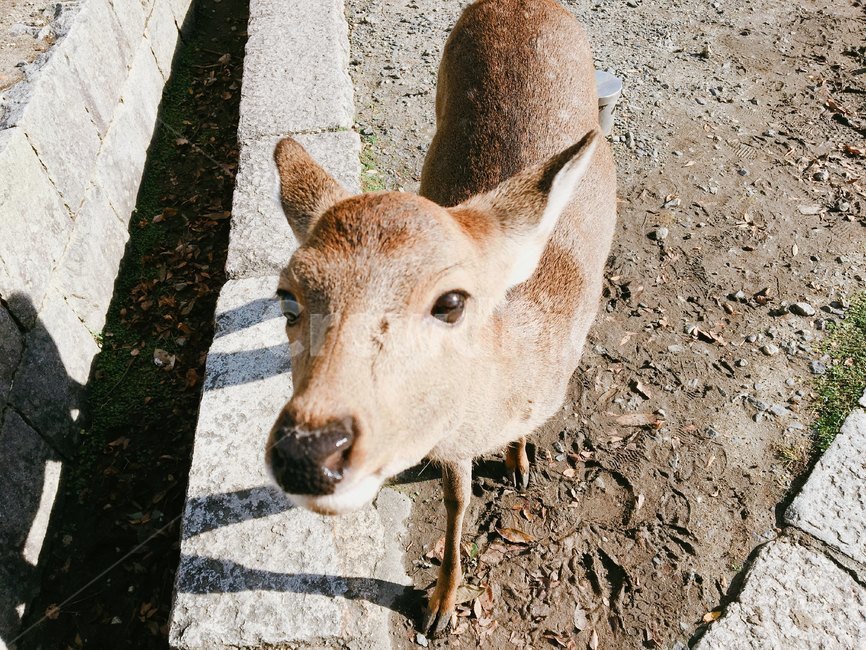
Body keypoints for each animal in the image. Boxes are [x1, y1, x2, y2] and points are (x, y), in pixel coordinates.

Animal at [265, 0, 617, 637]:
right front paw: (439, 605)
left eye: (451, 302)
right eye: (288, 299)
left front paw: (519, 465)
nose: (308, 451)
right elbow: (457, 500)